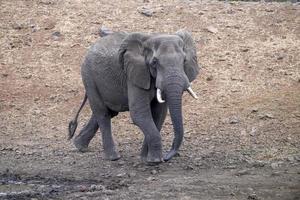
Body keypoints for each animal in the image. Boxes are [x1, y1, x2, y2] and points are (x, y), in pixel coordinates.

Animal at [68, 29, 199, 164]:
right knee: (102, 113)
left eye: (184, 61)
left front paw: (146, 159)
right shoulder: (134, 75)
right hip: (89, 77)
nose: (167, 157)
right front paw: (155, 161)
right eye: (154, 62)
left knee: (107, 112)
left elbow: (159, 114)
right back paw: (113, 157)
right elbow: (139, 114)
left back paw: (80, 146)